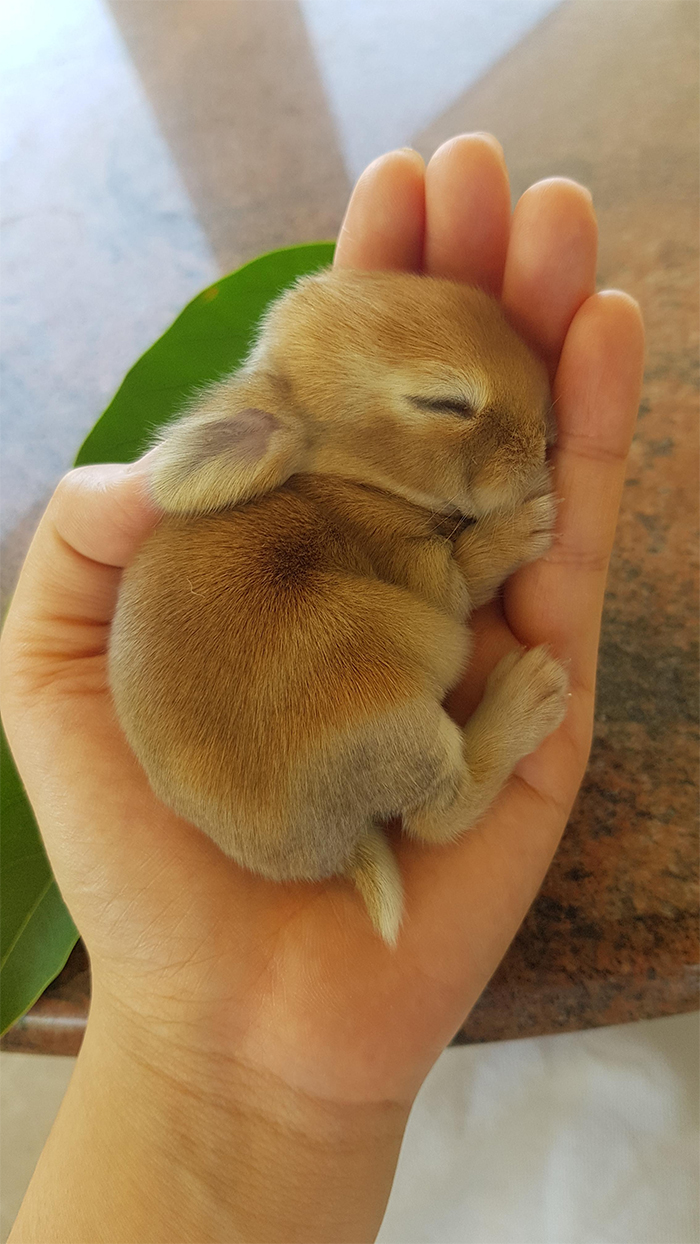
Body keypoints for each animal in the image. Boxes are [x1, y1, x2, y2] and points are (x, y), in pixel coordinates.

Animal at [109, 267, 569, 935]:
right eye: (445, 403)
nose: (546, 440)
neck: (350, 481)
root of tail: (334, 851)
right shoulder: (419, 569)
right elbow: (467, 574)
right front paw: (529, 523)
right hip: (383, 698)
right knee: (436, 817)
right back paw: (531, 694)